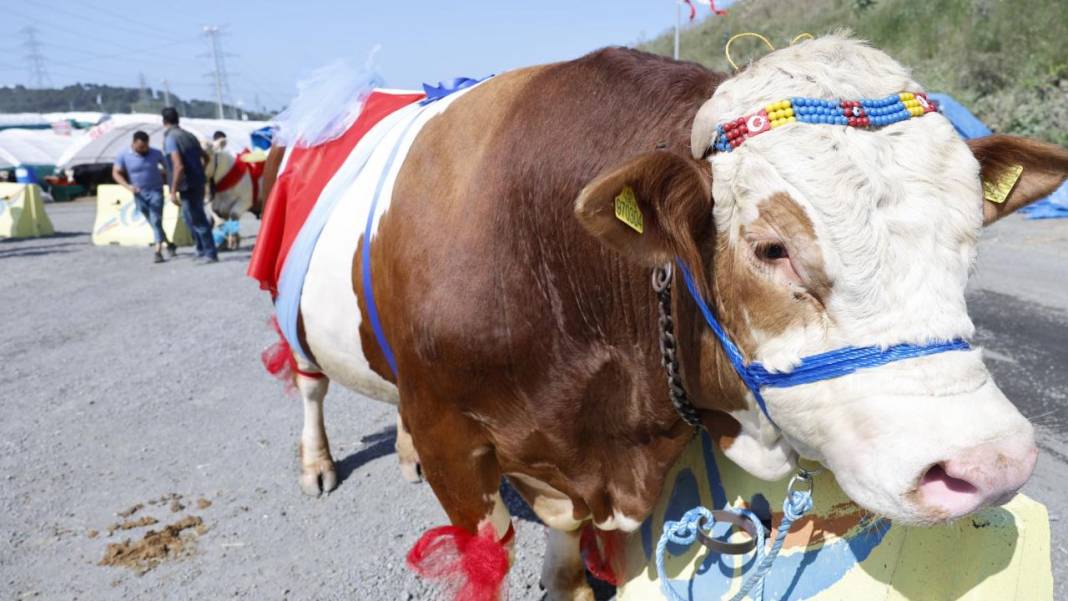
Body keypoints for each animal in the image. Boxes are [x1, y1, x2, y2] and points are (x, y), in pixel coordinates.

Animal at [269, 35, 1068, 597]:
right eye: (771, 248)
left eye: (970, 235)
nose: (989, 464)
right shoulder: (453, 444)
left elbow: (569, 564)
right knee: (309, 383)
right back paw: (315, 464)